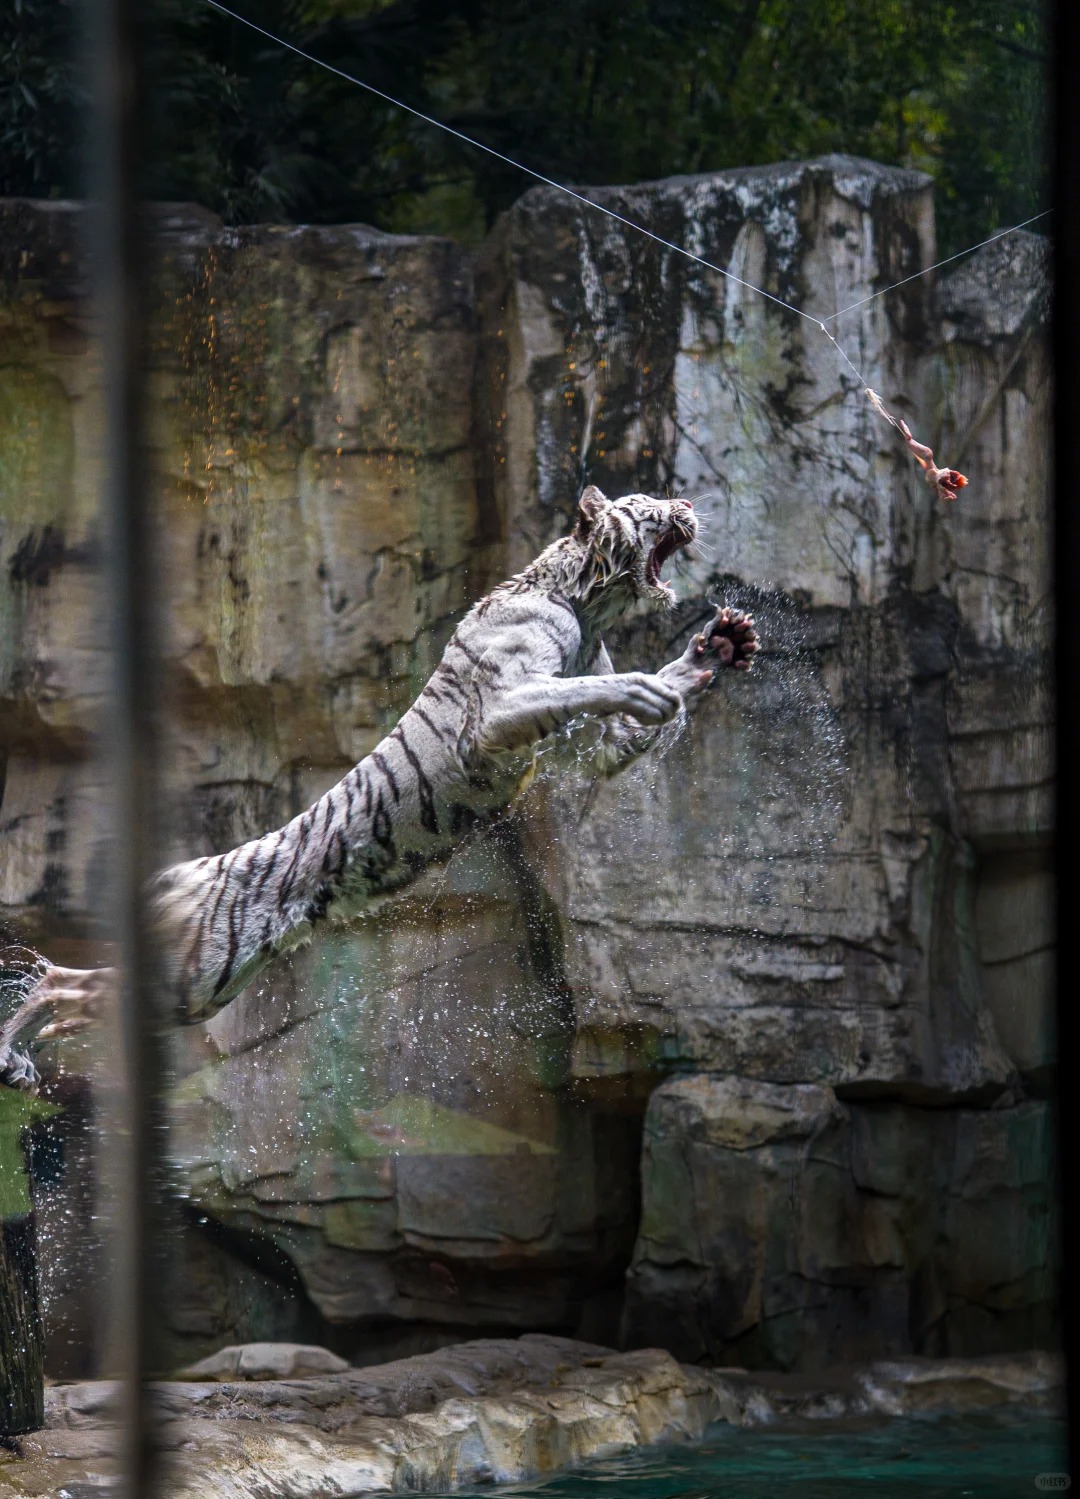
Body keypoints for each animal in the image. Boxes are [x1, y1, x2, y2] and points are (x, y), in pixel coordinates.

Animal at [0, 486, 758, 1086]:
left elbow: (624, 705)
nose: (688, 504)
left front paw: (716, 646)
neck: (587, 601)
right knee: (67, 983)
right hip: (192, 974)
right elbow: (592, 686)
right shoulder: (501, 708)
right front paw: (653, 688)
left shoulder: (589, 742)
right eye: (648, 502)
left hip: (206, 982)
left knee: (80, 990)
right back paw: (17, 1052)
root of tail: (179, 872)